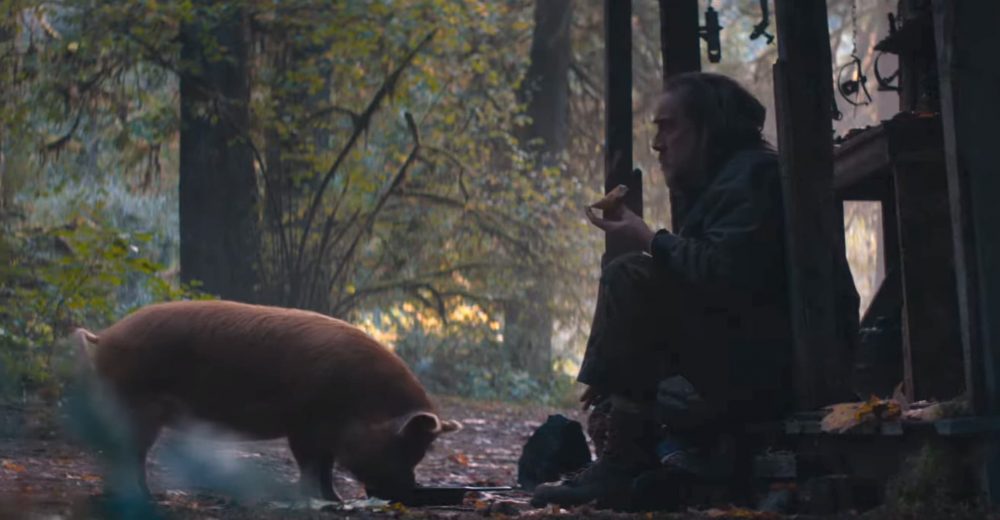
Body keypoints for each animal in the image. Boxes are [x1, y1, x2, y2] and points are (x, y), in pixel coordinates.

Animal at [72, 299, 460, 502]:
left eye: (422, 452)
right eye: (404, 446)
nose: (411, 489)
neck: (362, 400)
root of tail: (104, 336)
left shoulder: (324, 432)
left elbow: (325, 465)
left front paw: (334, 501)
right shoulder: (305, 423)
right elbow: (310, 463)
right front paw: (318, 501)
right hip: (134, 404)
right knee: (127, 451)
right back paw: (143, 496)